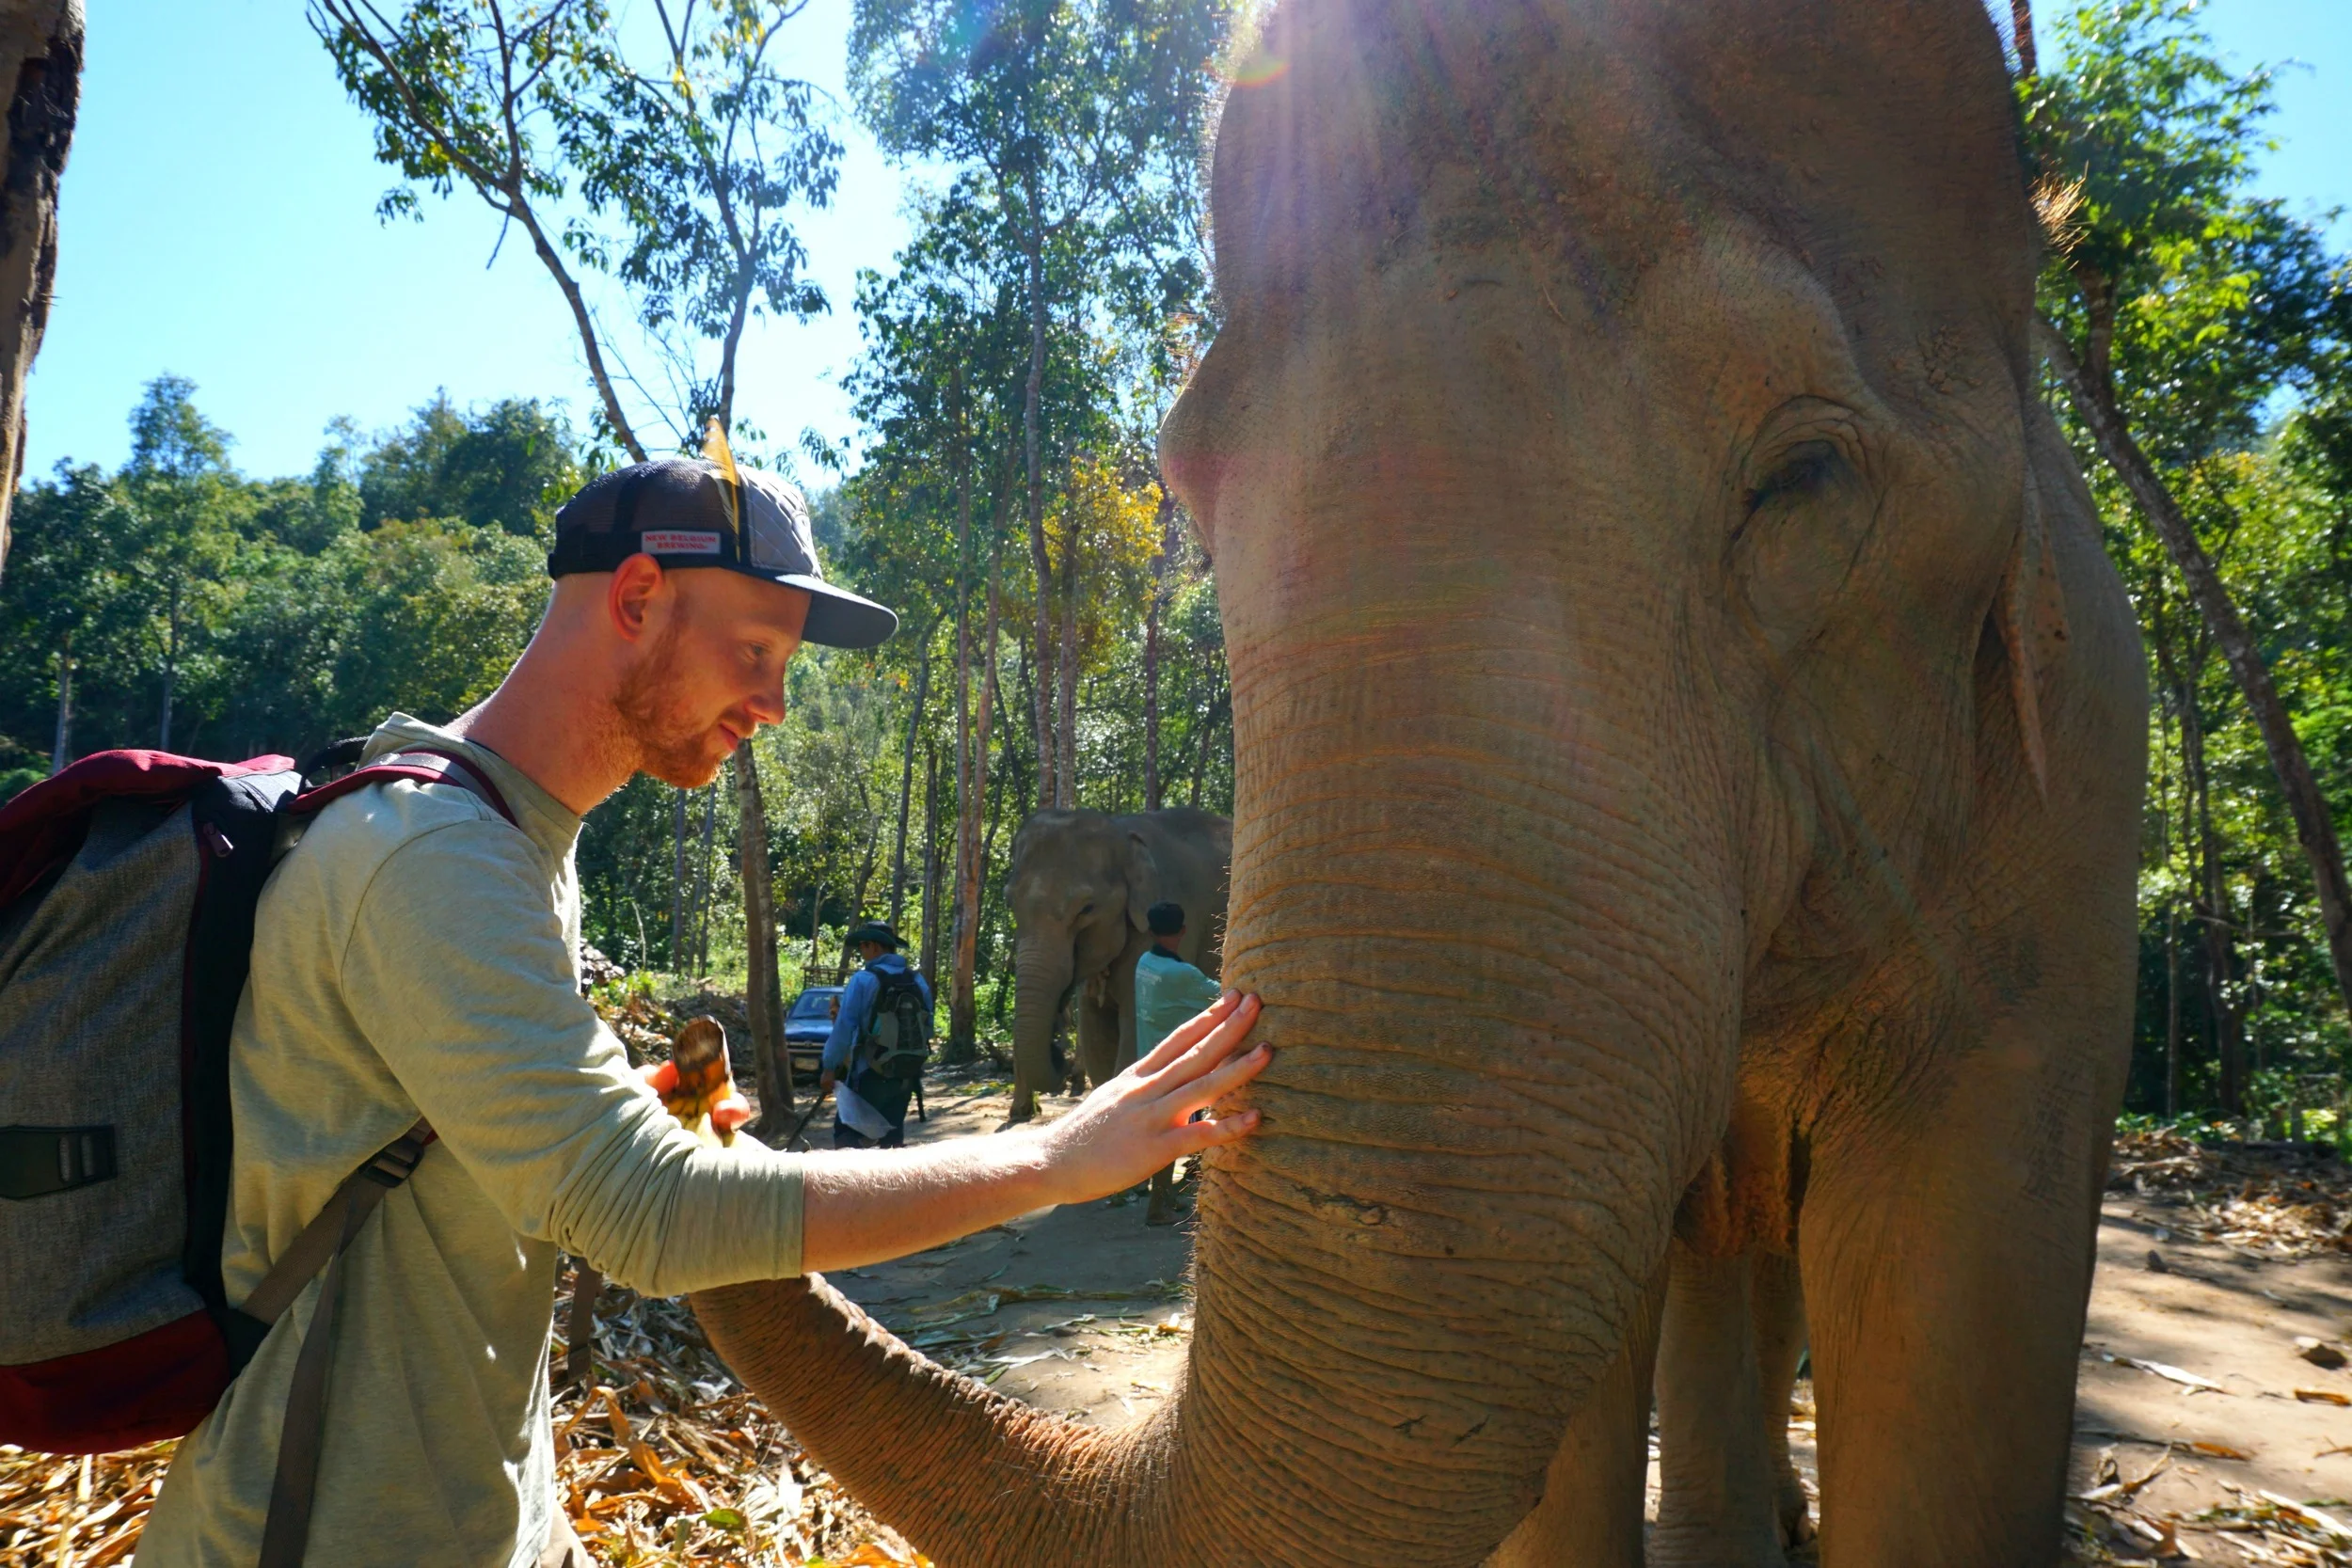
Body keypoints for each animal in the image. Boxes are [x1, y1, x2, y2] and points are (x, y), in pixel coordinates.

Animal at [1003, 806, 1232, 1132]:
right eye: (1010, 902)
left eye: (1086, 909)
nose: (1059, 1053)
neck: (1122, 832)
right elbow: (1098, 1045)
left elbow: (1132, 1043)